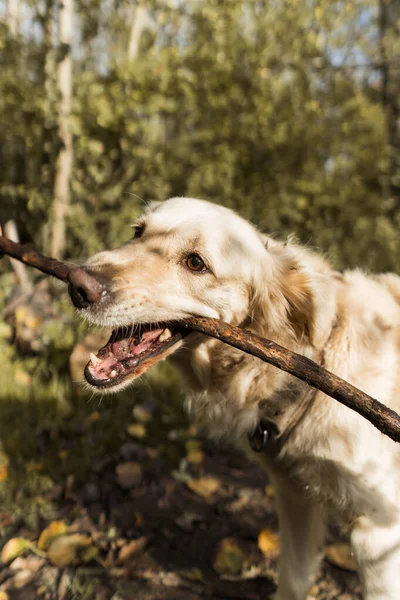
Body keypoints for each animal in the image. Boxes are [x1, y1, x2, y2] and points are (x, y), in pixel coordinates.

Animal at [69, 198, 400, 600]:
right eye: (137, 232)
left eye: (196, 263)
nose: (77, 285)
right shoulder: (295, 498)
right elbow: (292, 579)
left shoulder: (379, 533)